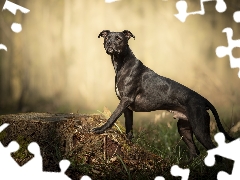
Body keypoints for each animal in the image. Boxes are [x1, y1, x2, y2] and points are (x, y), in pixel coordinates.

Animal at [92, 30, 234, 161]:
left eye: (118, 38)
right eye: (107, 38)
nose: (109, 44)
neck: (123, 63)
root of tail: (204, 100)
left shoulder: (125, 101)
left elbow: (112, 117)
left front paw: (100, 129)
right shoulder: (127, 107)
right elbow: (129, 126)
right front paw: (128, 143)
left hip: (199, 129)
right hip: (184, 128)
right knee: (195, 152)